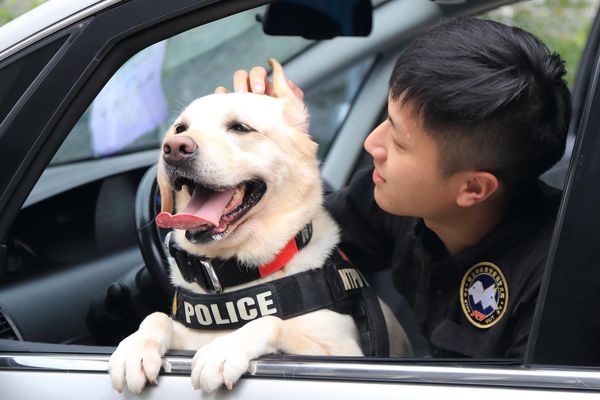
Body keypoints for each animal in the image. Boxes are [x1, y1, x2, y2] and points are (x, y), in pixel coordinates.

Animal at [108, 58, 410, 394]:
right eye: (180, 129)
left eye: (240, 128)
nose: (174, 148)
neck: (234, 276)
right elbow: (156, 317)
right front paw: (134, 348)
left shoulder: (344, 352)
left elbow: (270, 322)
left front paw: (223, 349)